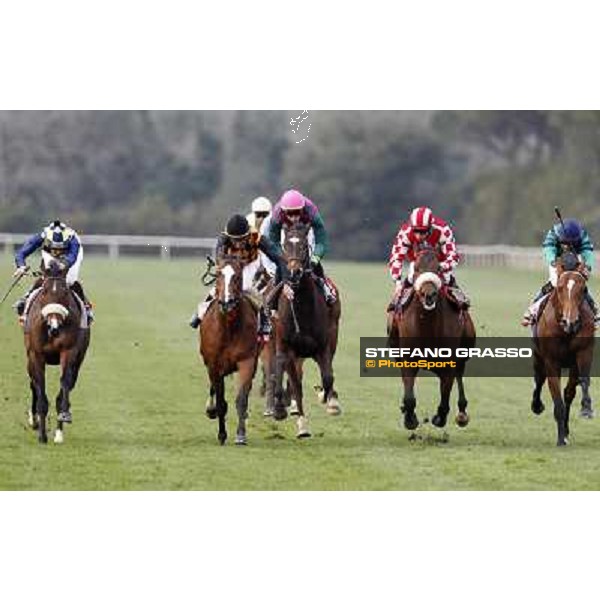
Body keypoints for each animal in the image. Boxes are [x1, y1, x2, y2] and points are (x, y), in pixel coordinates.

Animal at [23, 260, 90, 442]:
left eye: (65, 292)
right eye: (45, 291)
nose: (54, 327)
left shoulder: (69, 352)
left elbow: (65, 383)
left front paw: (61, 424)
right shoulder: (36, 354)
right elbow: (40, 388)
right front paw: (42, 435)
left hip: (80, 359)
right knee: (33, 385)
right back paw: (34, 420)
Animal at [199, 253, 260, 446]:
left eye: (238, 276)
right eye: (218, 275)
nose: (227, 303)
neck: (228, 329)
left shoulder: (247, 361)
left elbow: (241, 399)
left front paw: (240, 435)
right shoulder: (213, 364)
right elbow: (220, 402)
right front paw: (221, 434)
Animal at [274, 223, 342, 438]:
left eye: (304, 246)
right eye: (285, 246)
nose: (294, 273)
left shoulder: (323, 346)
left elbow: (328, 377)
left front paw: (326, 398)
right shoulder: (288, 348)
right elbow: (296, 385)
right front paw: (301, 424)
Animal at [390, 250, 478, 436]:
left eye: (438, 268)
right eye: (416, 268)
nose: (429, 295)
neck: (428, 326)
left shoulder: (449, 362)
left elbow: (445, 398)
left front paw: (439, 418)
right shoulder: (408, 359)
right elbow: (409, 396)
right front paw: (410, 419)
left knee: (459, 376)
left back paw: (462, 413)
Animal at [532, 250, 592, 446]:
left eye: (583, 289)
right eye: (559, 288)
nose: (570, 322)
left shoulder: (582, 354)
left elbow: (580, 383)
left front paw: (586, 408)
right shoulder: (551, 360)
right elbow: (556, 396)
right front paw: (560, 439)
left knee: (569, 392)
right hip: (538, 357)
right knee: (539, 380)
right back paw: (536, 406)